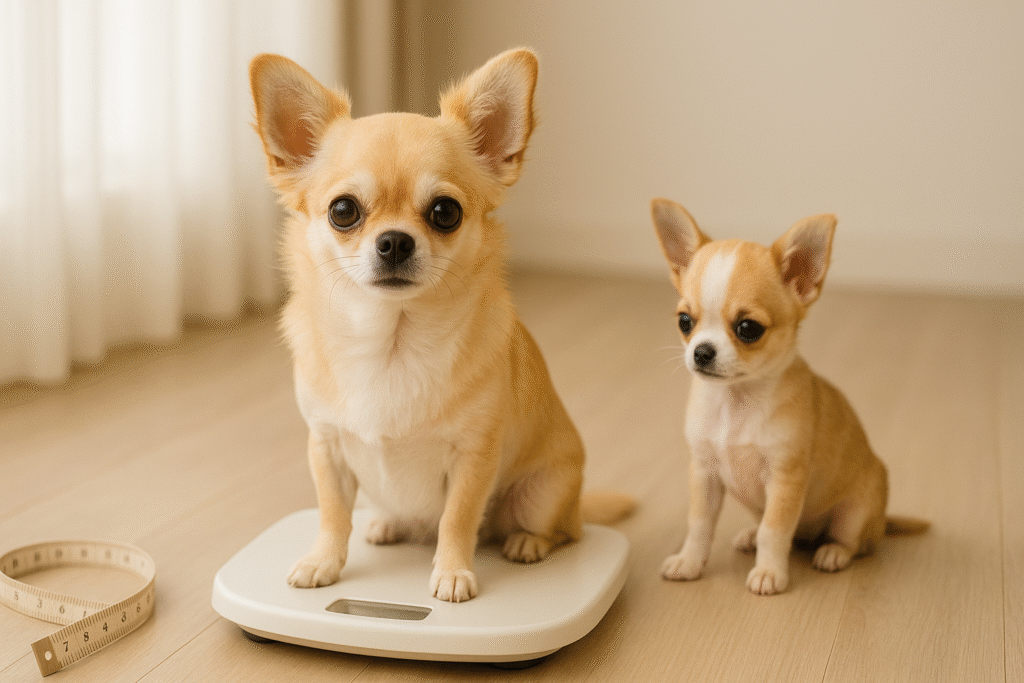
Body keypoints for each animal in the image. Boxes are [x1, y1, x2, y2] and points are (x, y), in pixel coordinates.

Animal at [248, 48, 632, 602]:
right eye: (343, 211)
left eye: (445, 212)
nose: (394, 240)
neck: (391, 342)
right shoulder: (327, 450)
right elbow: (332, 514)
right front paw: (323, 561)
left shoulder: (473, 457)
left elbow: (457, 519)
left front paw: (452, 573)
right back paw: (388, 523)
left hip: (544, 493)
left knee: (560, 530)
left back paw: (527, 543)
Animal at [650, 198, 926, 595]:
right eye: (684, 322)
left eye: (748, 329)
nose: (701, 352)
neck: (737, 403)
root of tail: (882, 522)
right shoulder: (704, 474)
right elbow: (700, 525)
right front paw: (689, 562)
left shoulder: (784, 479)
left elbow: (775, 530)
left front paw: (769, 573)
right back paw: (750, 536)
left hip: (854, 513)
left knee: (851, 542)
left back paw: (832, 553)